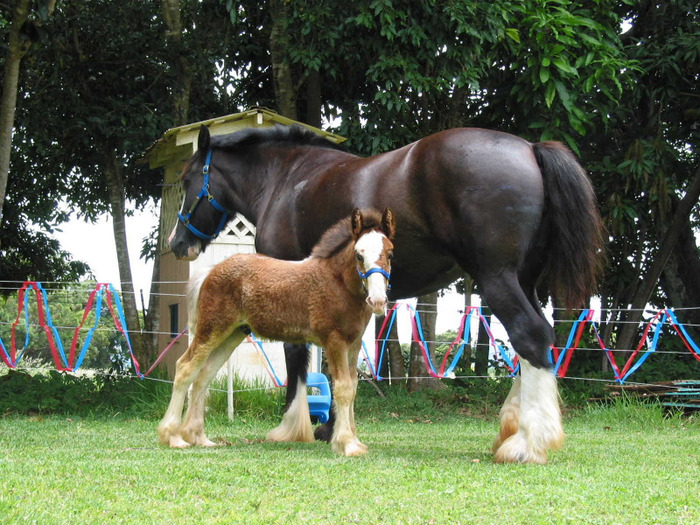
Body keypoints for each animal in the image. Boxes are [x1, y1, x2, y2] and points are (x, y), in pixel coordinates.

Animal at [161, 206, 396, 454]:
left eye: (390, 254)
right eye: (359, 255)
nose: (378, 301)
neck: (338, 283)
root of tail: (211, 270)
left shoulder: (353, 344)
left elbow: (353, 388)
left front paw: (354, 440)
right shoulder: (335, 341)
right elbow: (342, 389)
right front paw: (347, 444)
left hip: (232, 334)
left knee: (204, 375)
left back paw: (198, 436)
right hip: (211, 330)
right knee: (185, 368)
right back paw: (173, 437)